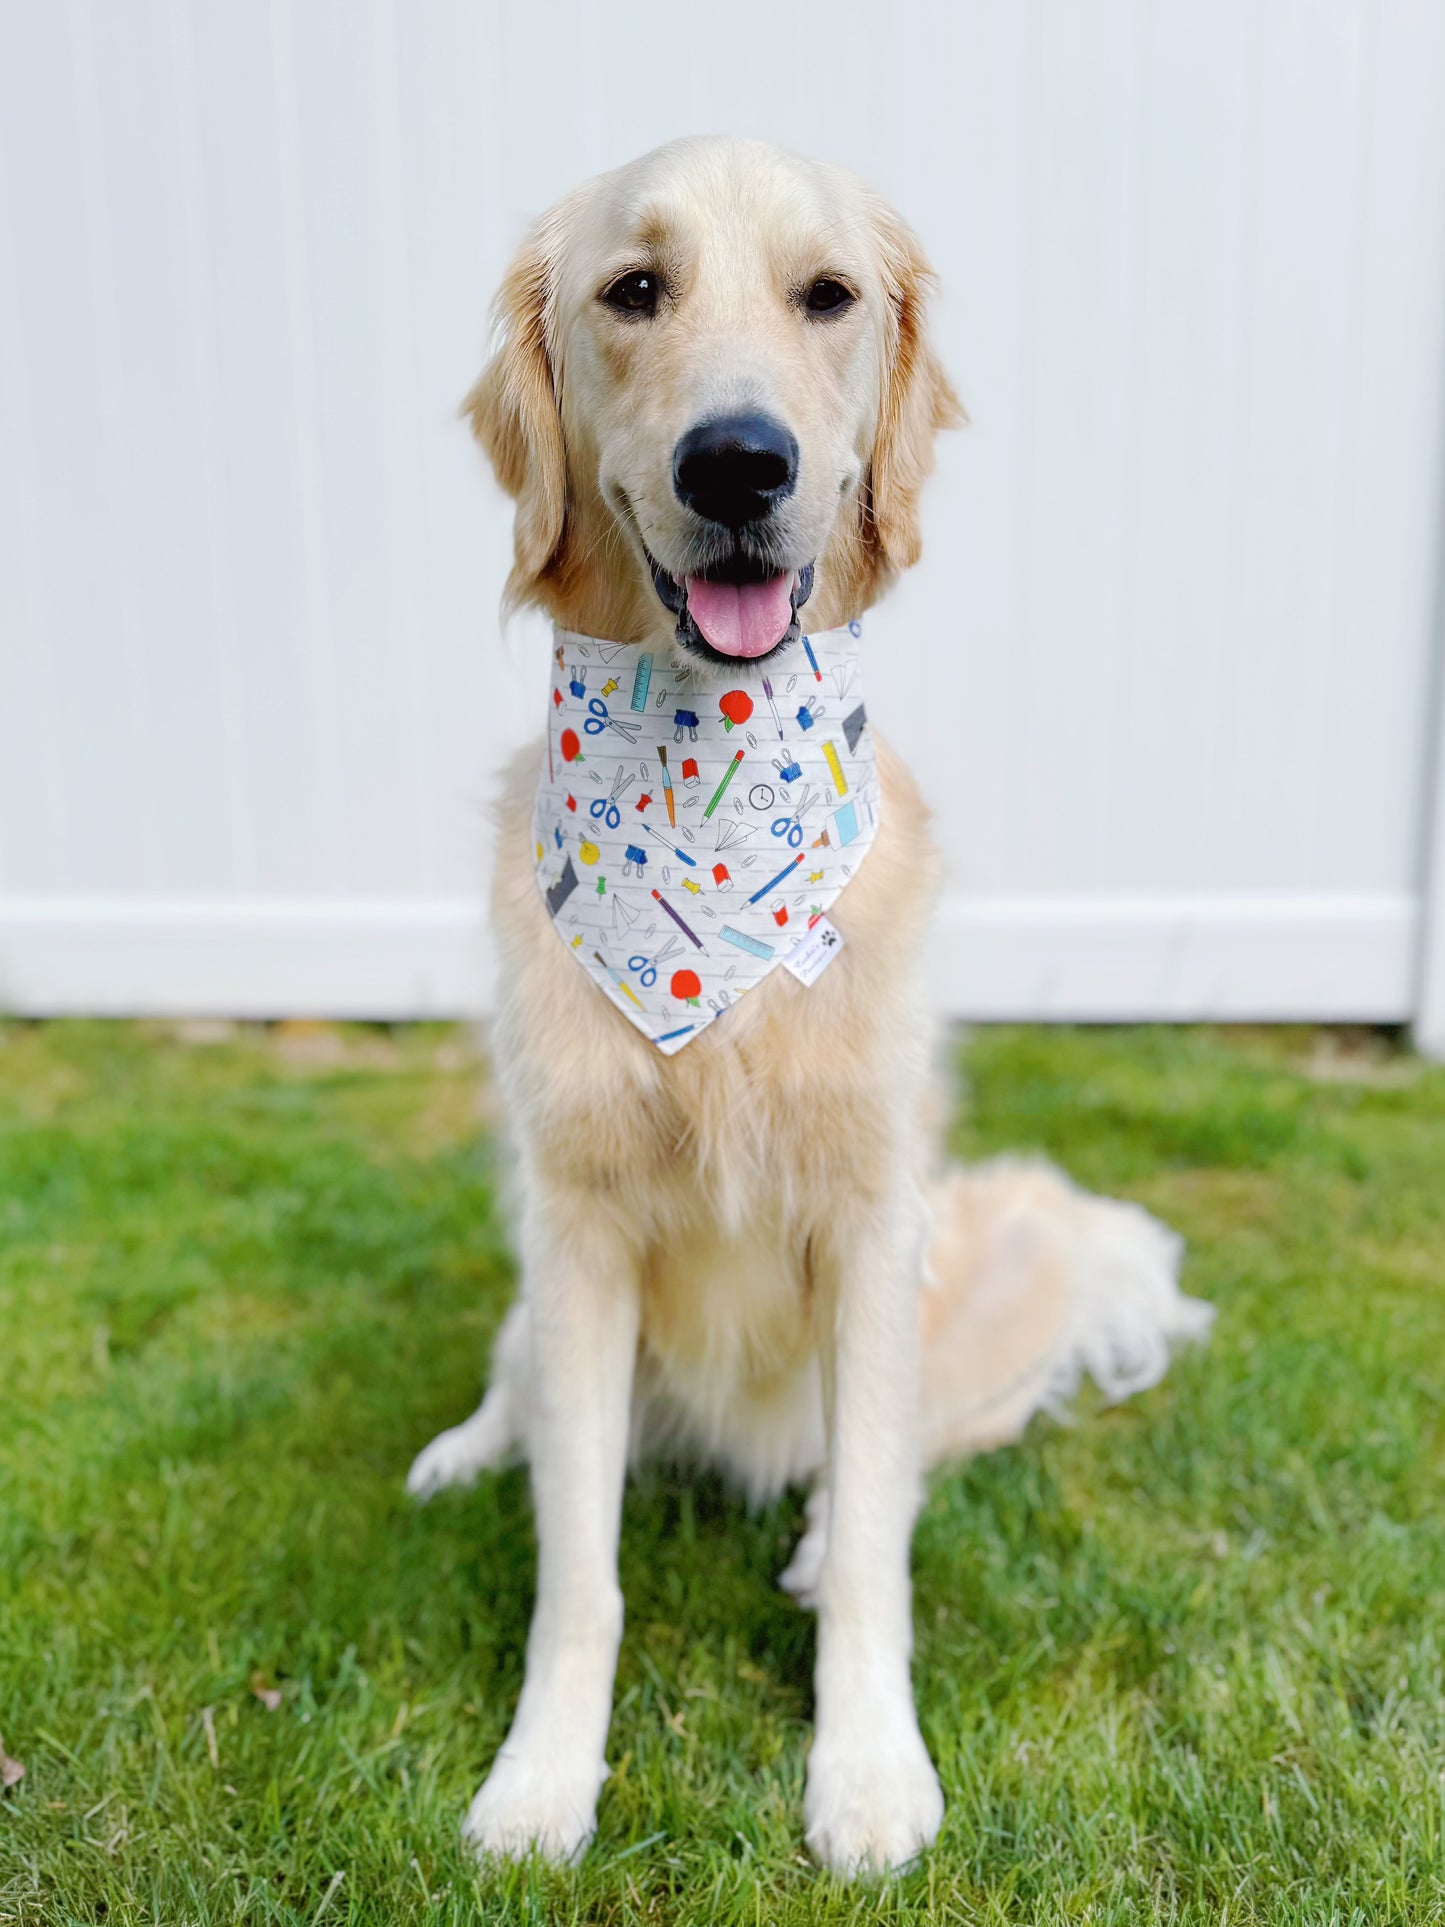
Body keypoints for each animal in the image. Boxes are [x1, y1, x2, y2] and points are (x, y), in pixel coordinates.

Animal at [408, 131, 1209, 1865]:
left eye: (827, 296)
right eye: (633, 289)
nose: (737, 465)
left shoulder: (867, 1216)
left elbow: (871, 1568)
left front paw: (866, 1768)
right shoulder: (575, 1232)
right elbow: (578, 1571)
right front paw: (540, 1777)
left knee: (882, 1478)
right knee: (516, 1395)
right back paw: (460, 1449)